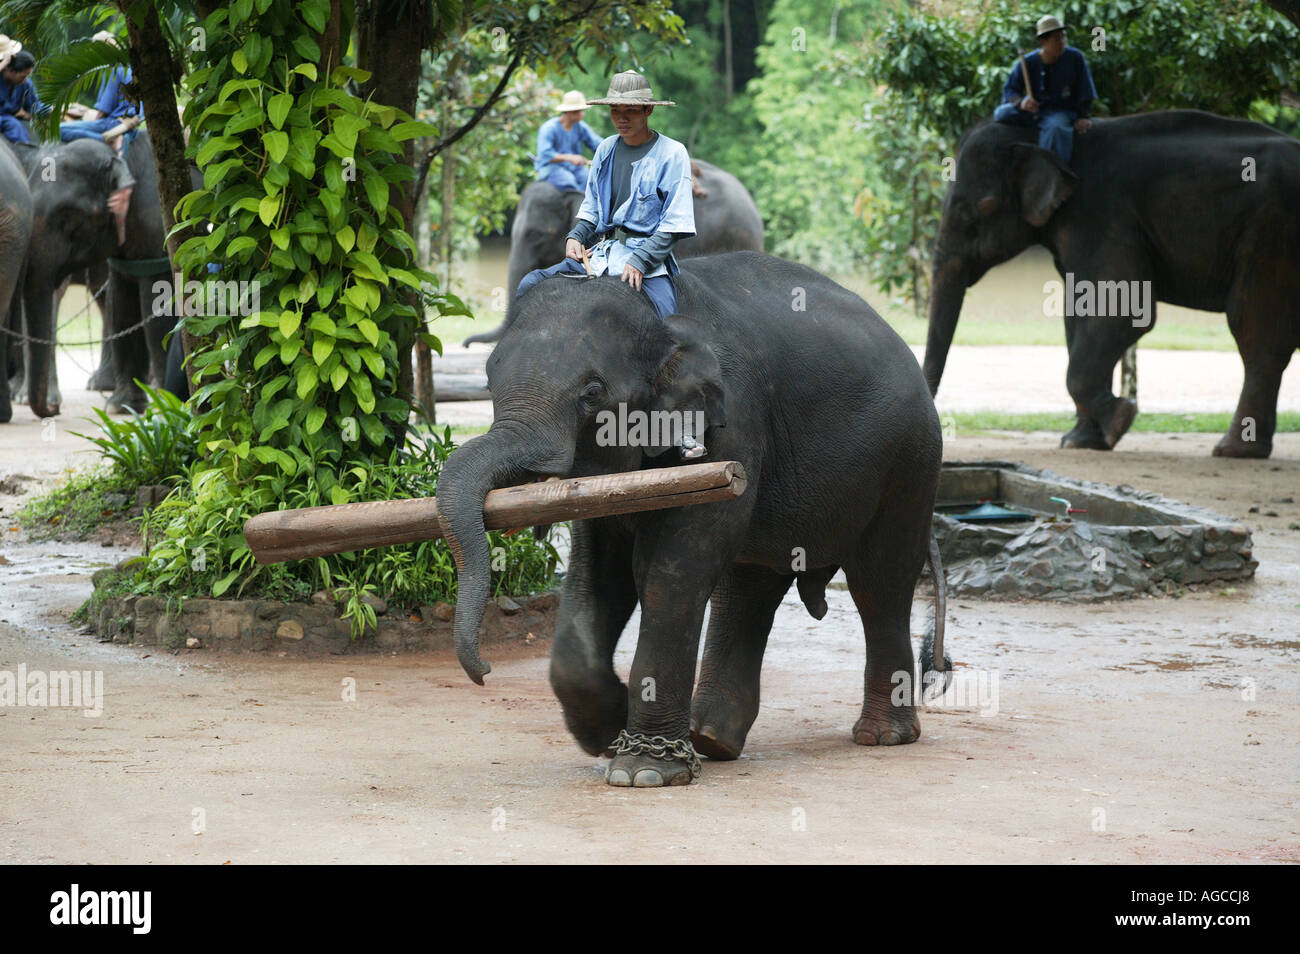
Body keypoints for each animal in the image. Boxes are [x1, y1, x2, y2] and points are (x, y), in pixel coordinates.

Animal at [435, 250, 949, 787]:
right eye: (488, 381)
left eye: (592, 392)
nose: (484, 672)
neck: (658, 318)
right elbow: (598, 570)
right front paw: (607, 734)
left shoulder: (732, 421)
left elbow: (671, 572)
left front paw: (642, 771)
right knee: (748, 588)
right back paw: (711, 739)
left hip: (911, 463)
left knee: (879, 583)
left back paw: (882, 736)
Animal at [923, 109, 1300, 458]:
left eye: (980, 209)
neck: (1038, 139)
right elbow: (1079, 315)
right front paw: (1082, 442)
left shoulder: (1102, 216)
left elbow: (1121, 313)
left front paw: (1122, 417)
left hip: (1271, 232)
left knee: (1255, 330)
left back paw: (1232, 450)